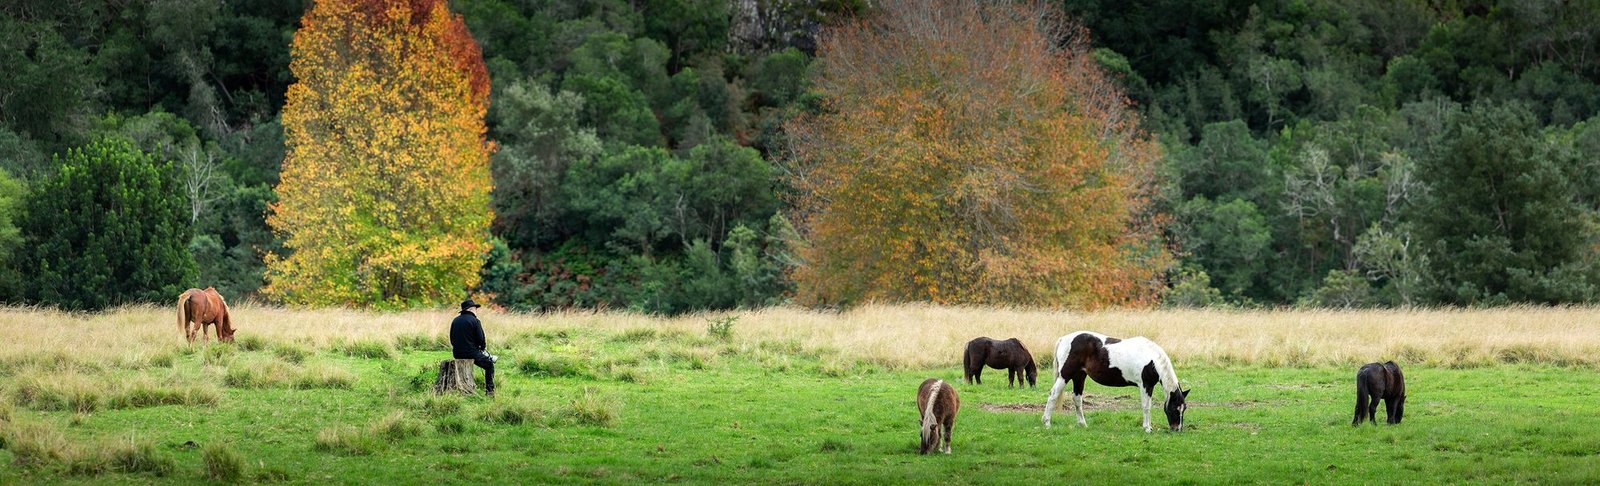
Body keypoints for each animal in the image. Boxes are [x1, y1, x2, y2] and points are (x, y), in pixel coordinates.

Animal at [1042, 331, 1189, 432]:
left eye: (1184, 409)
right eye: (1174, 409)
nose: (1177, 429)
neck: (1152, 359)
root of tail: (1063, 339)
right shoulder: (1145, 385)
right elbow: (1146, 406)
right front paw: (1147, 428)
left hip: (1079, 376)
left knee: (1077, 399)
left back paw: (1083, 424)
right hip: (1065, 375)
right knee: (1053, 395)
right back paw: (1047, 423)